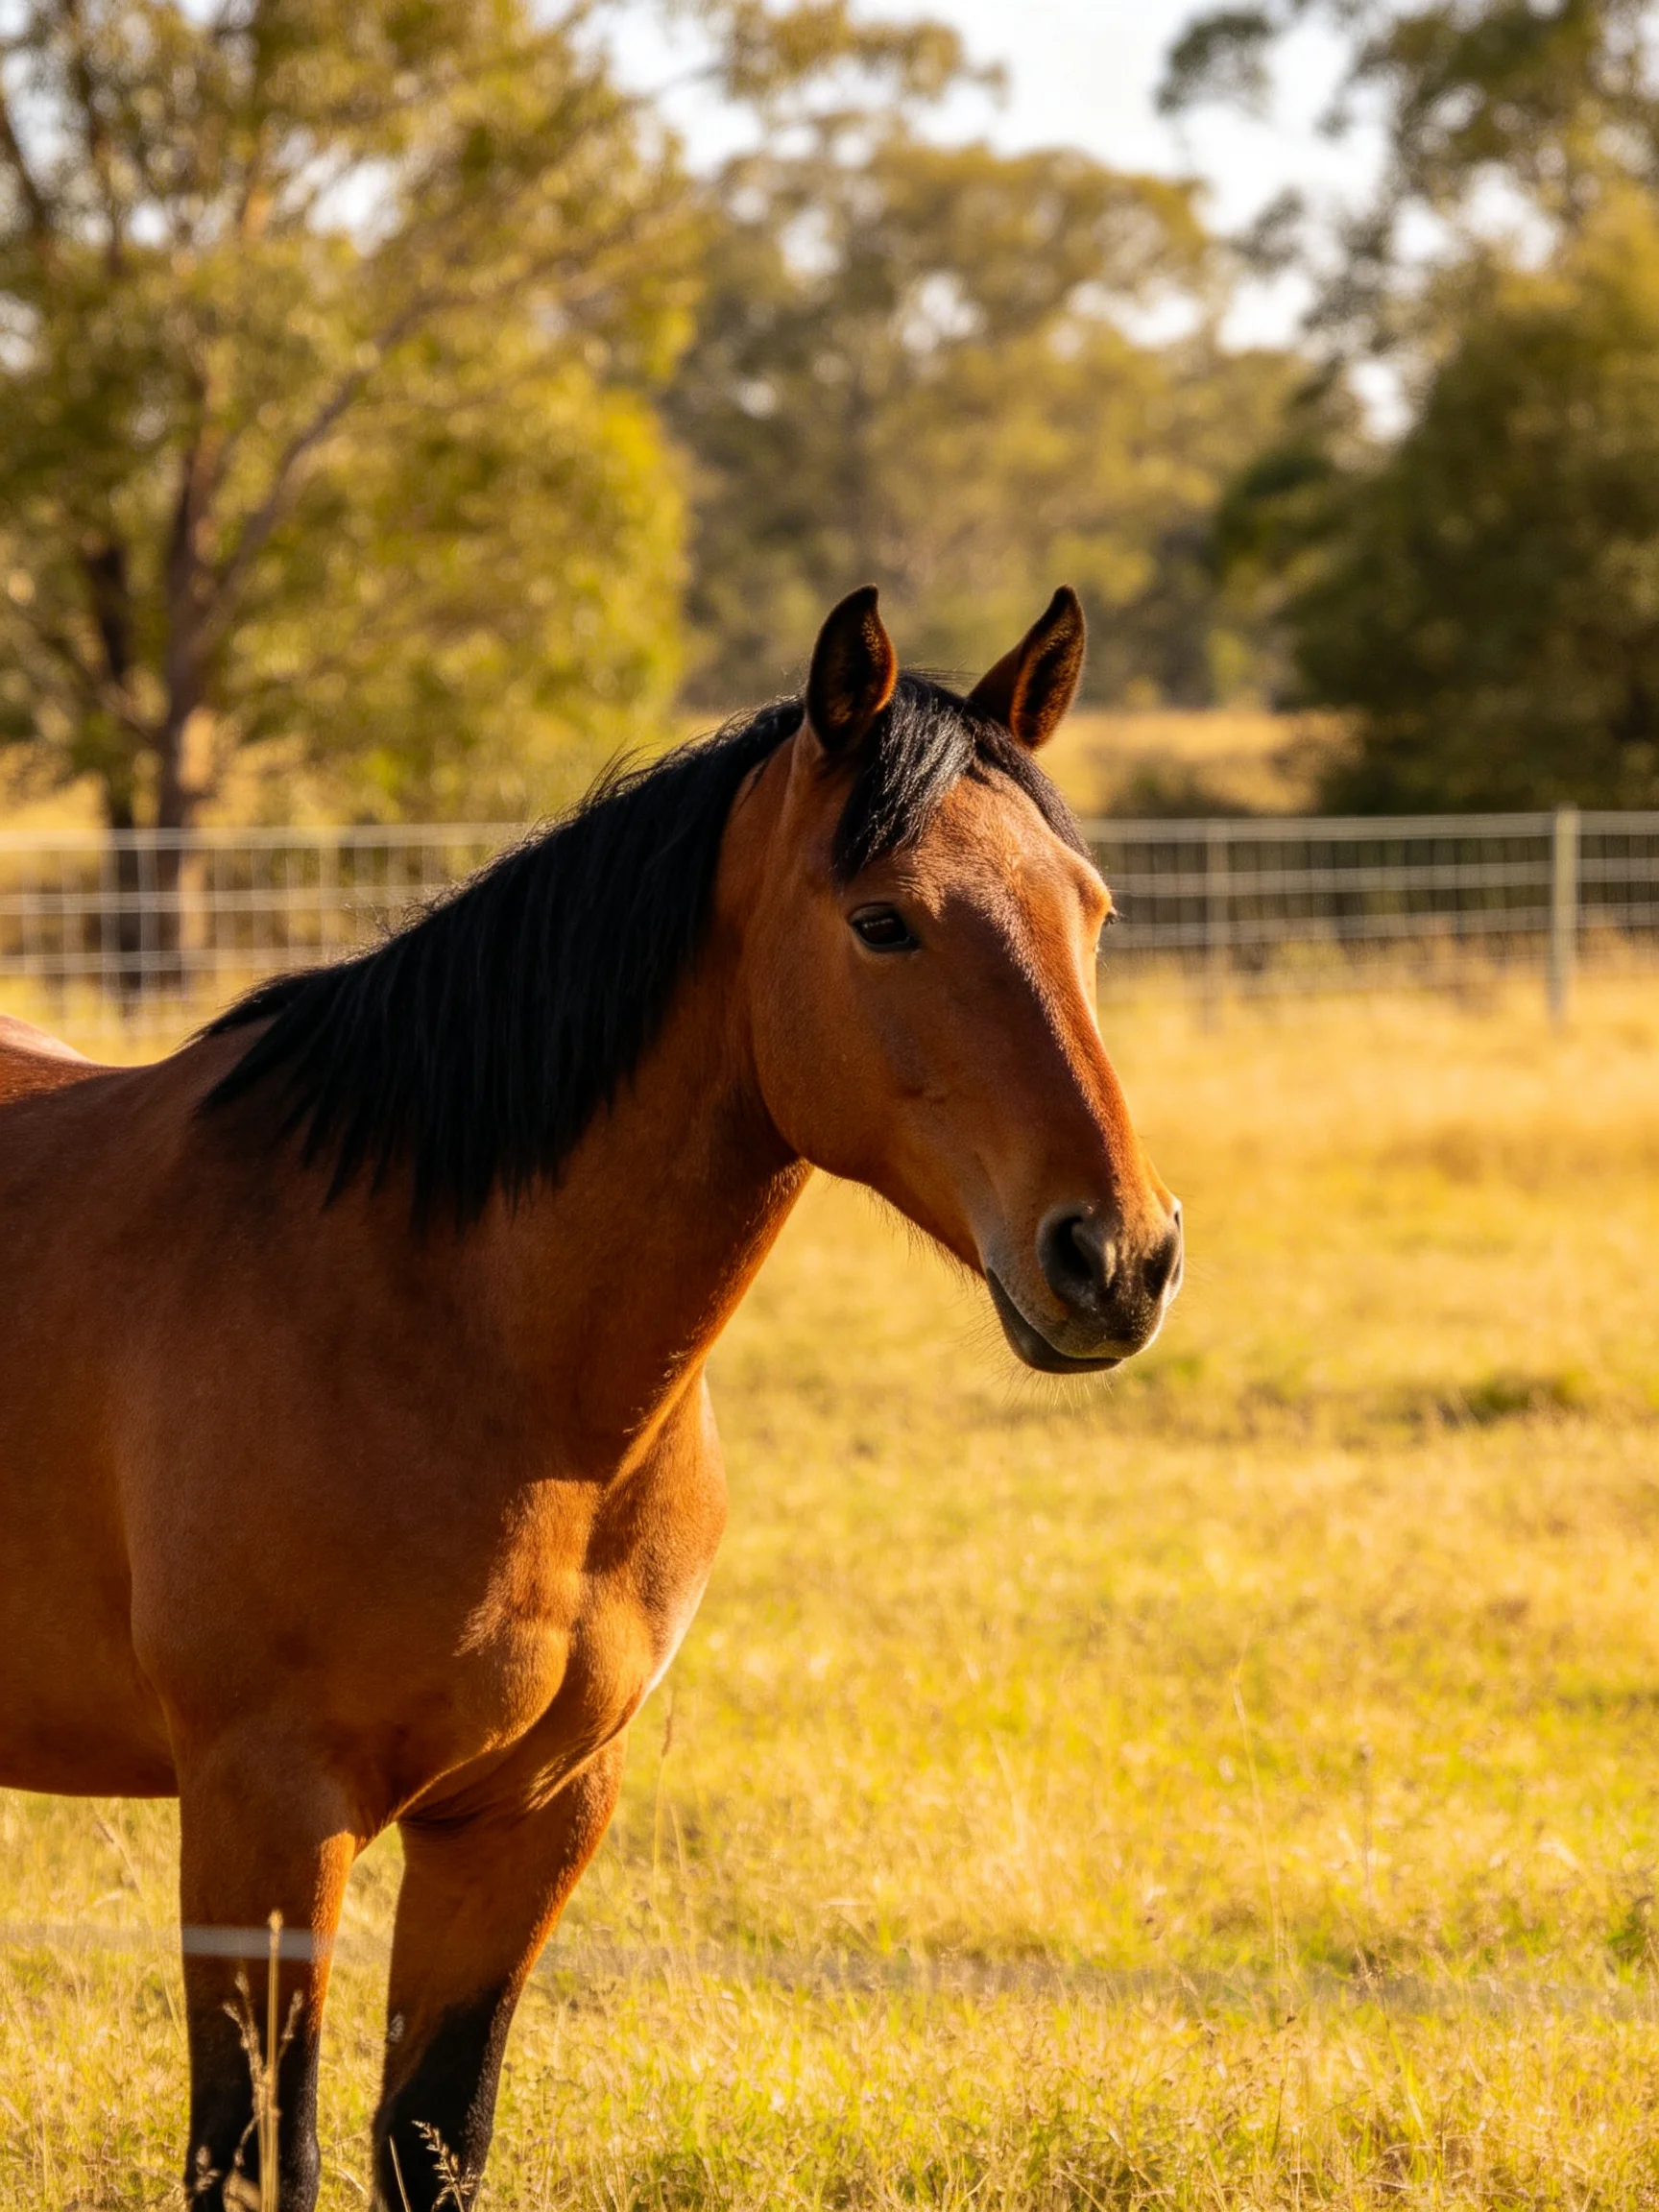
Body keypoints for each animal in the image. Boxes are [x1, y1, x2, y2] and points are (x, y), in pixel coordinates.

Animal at [0, 585, 1182, 2208]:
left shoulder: (528, 1819)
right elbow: (254, 2159)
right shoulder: (263, 1820)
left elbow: (433, 2141)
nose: (1117, 1257)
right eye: (885, 920)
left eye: (1094, 912)